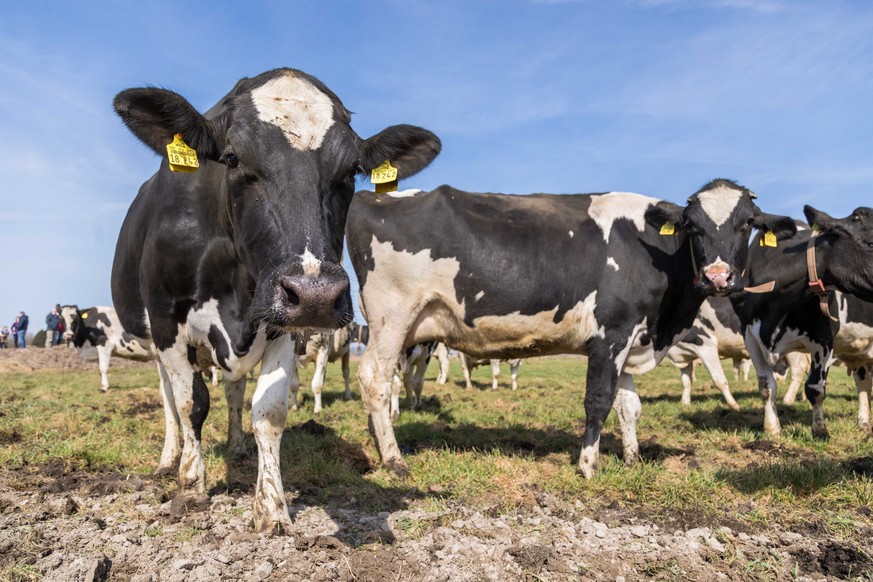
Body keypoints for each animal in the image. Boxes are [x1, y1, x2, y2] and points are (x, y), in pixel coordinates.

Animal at [112, 68, 440, 532]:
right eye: (232, 158)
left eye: (351, 171)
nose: (318, 294)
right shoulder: (166, 319)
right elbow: (191, 402)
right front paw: (191, 486)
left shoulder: (284, 321)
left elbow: (268, 411)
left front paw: (271, 509)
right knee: (169, 401)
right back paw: (169, 459)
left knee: (233, 390)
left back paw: (236, 445)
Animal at [344, 181, 792, 480]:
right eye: (693, 226)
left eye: (747, 223)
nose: (718, 277)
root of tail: (372, 196)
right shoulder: (610, 333)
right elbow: (598, 401)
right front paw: (588, 465)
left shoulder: (630, 340)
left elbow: (629, 405)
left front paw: (632, 457)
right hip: (392, 315)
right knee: (375, 379)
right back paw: (393, 459)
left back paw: (380, 443)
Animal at [732, 212, 873, 440]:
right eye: (870, 242)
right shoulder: (749, 335)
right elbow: (766, 386)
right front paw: (772, 428)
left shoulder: (824, 336)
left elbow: (815, 387)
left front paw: (820, 431)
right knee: (863, 381)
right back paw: (863, 422)